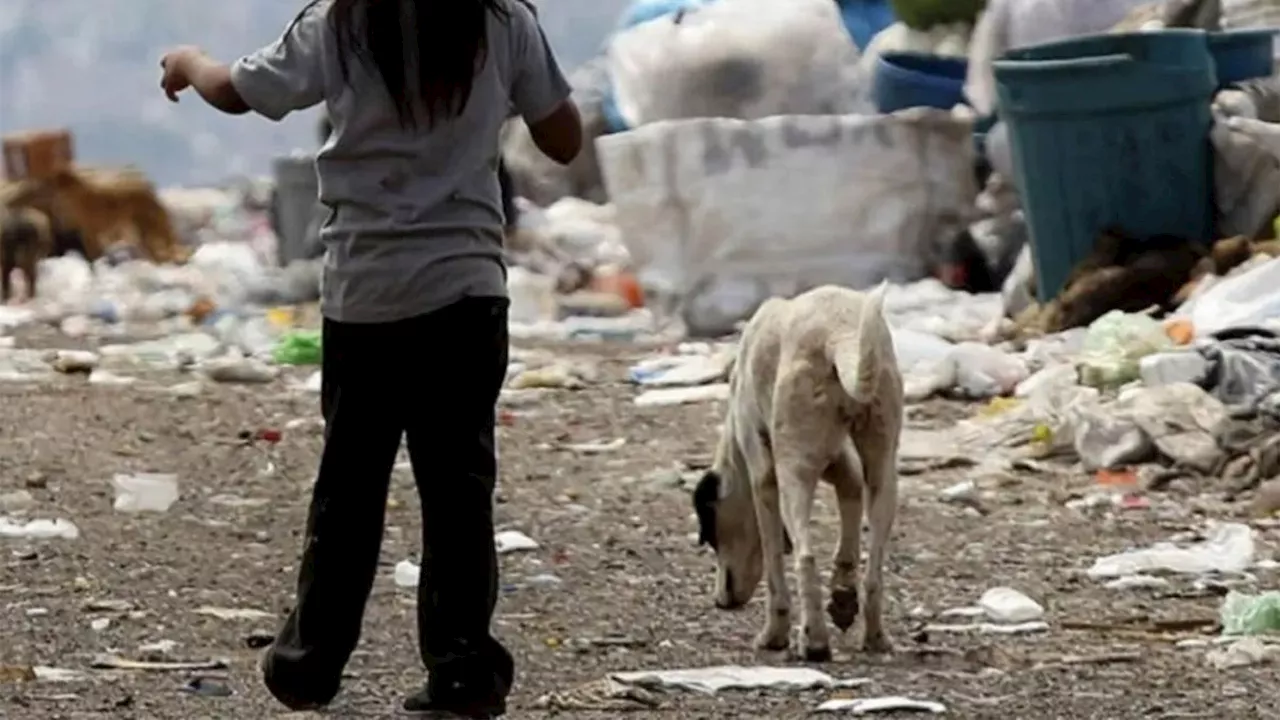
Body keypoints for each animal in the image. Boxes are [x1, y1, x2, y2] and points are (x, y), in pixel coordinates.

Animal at [701, 283, 901, 661]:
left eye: (711, 535)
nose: (720, 602)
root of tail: (839, 334)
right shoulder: (842, 464)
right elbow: (850, 507)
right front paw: (842, 595)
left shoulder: (764, 479)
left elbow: (773, 562)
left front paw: (774, 634)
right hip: (883, 466)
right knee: (874, 569)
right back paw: (874, 636)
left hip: (794, 472)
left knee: (805, 557)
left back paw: (814, 640)